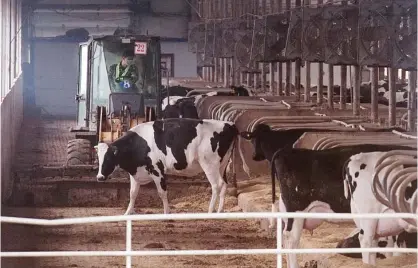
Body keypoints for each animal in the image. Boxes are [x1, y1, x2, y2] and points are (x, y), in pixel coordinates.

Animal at [94, 119, 248, 216]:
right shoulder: (135, 173)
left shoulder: (157, 170)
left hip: (209, 164)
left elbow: (162, 193)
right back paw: (220, 211)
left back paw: (210, 210)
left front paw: (167, 212)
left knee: (217, 185)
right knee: (224, 184)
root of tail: (229, 124)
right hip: (222, 164)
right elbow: (132, 194)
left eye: (108, 158)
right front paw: (127, 213)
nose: (99, 177)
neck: (138, 144)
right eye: (98, 158)